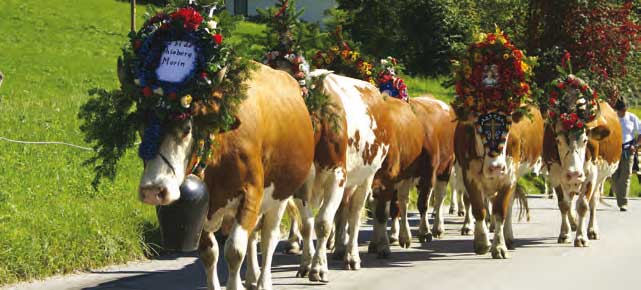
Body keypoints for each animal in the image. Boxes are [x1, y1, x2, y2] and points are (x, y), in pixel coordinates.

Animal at [138, 62, 316, 290]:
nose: (153, 190)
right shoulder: (203, 210)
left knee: (269, 237)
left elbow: (234, 250)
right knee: (254, 235)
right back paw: (251, 277)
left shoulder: (252, 194)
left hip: (282, 193)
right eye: (142, 129)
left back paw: (264, 281)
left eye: (187, 129)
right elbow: (209, 253)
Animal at [452, 106, 544, 258]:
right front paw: (482, 243)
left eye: (508, 128)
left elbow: (500, 210)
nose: (496, 167)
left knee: (508, 205)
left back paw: (508, 238)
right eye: (478, 129)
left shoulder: (509, 177)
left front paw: (499, 246)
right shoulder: (469, 177)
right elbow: (478, 209)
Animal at [544, 100, 616, 247]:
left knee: (593, 202)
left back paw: (592, 230)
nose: (574, 174)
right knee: (571, 199)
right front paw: (564, 234)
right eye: (558, 140)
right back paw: (574, 223)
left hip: (600, 179)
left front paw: (581, 237)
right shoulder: (554, 175)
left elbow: (583, 205)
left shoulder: (591, 175)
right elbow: (564, 205)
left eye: (585, 140)